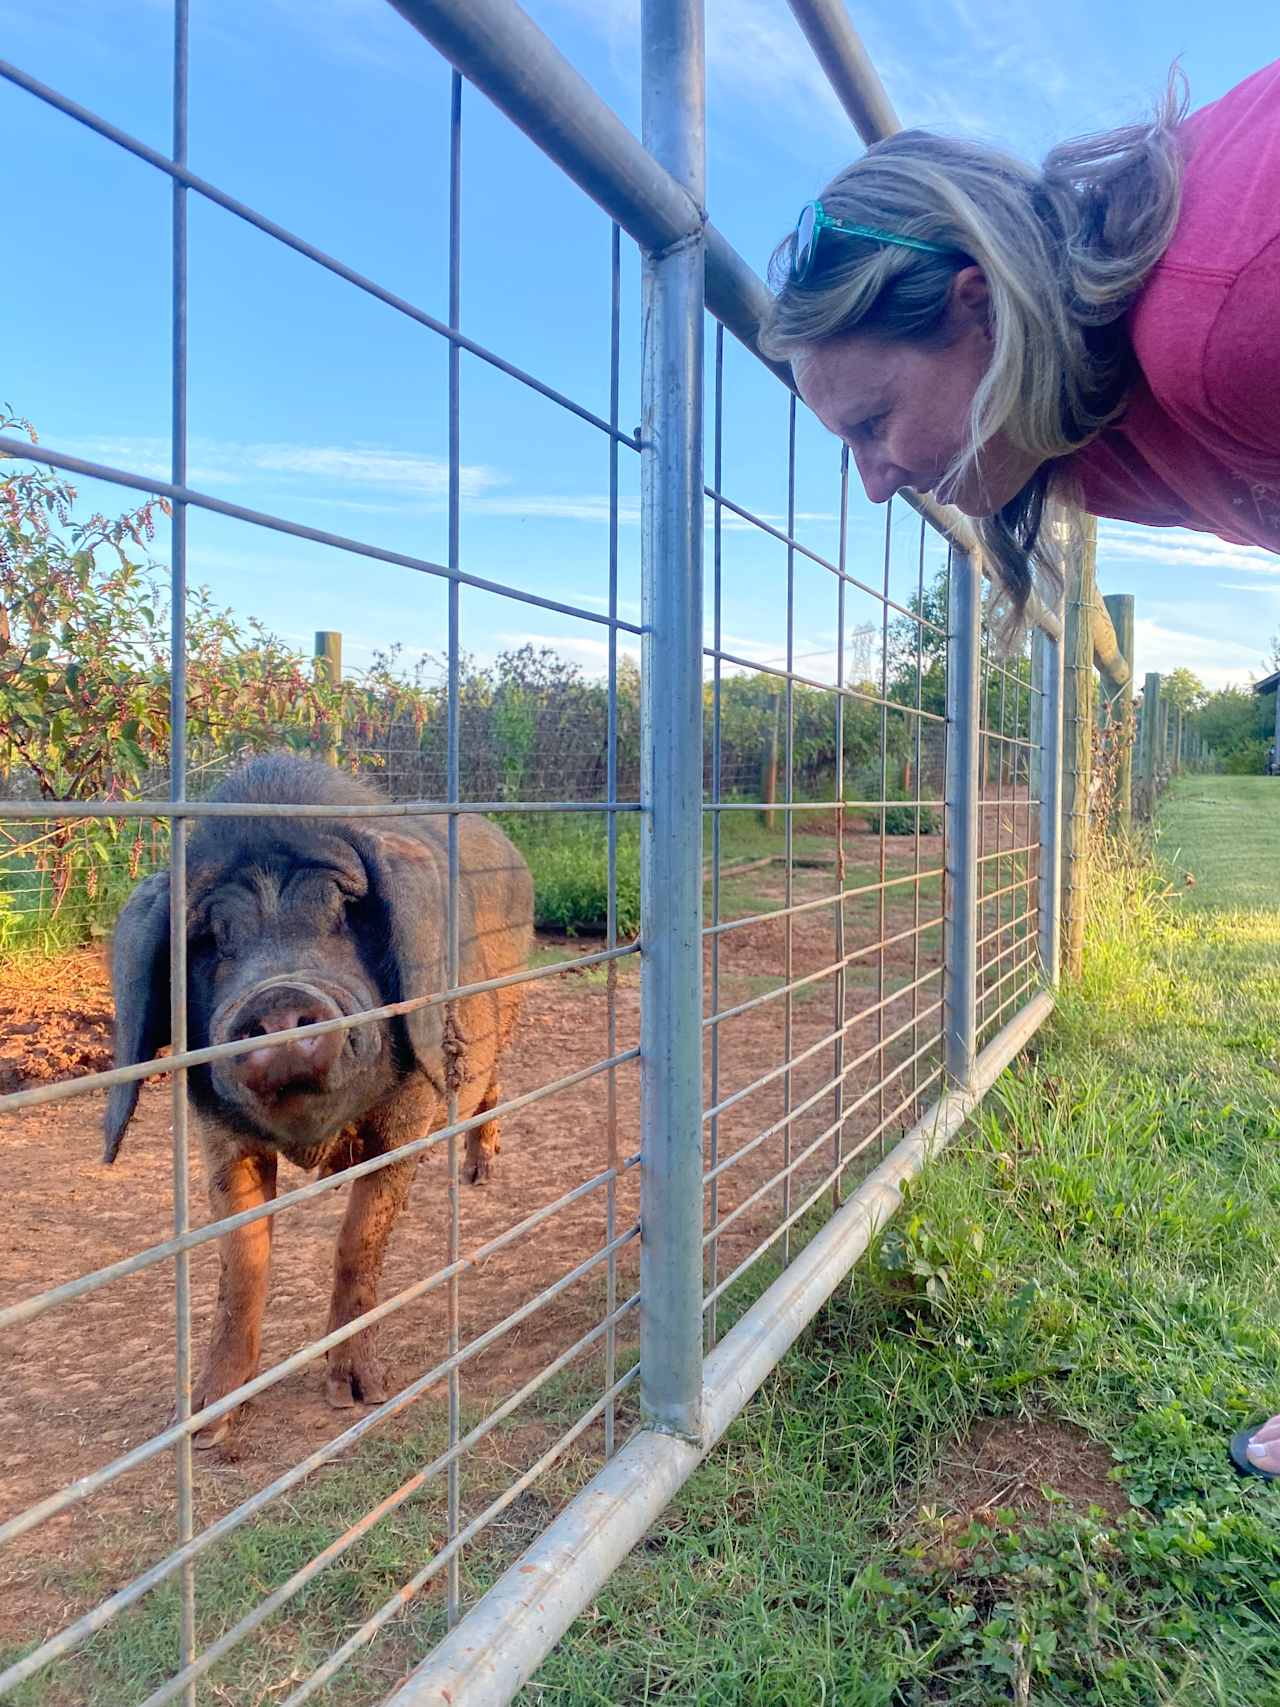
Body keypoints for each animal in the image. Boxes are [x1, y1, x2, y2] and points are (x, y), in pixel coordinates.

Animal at [104, 754, 535, 1447]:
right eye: (210, 937)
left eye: (346, 911)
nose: (279, 999)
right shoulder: (221, 1139)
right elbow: (242, 1261)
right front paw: (205, 1426)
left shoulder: (406, 1118)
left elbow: (358, 1242)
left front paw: (358, 1396)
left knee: (487, 1083)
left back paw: (477, 1174)